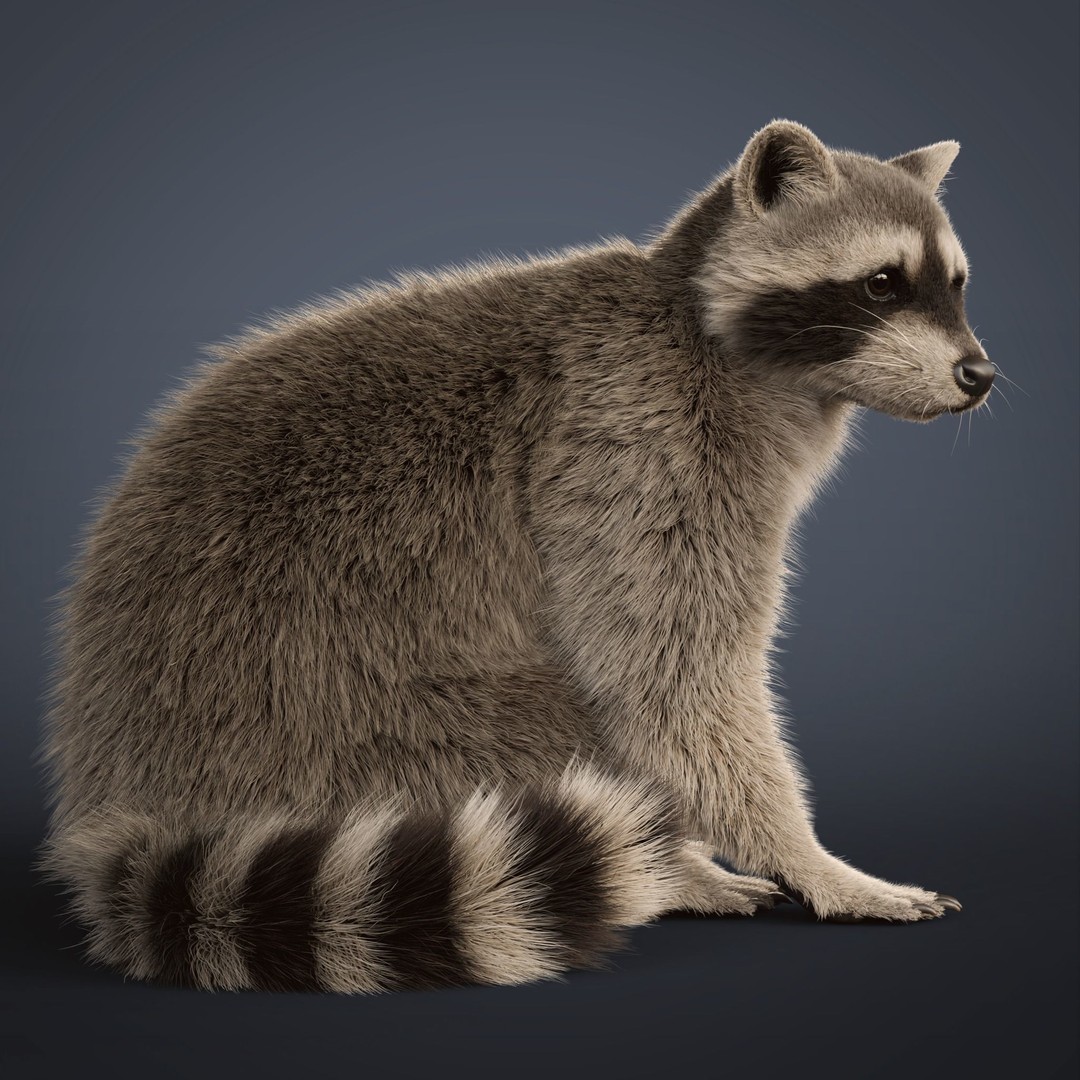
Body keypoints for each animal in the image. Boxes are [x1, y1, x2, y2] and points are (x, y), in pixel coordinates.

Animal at [42, 121, 989, 993]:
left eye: (957, 285)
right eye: (882, 282)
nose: (979, 375)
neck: (716, 337)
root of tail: (112, 796)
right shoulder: (636, 437)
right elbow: (670, 680)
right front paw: (810, 859)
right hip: (337, 711)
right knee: (547, 717)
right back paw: (664, 869)